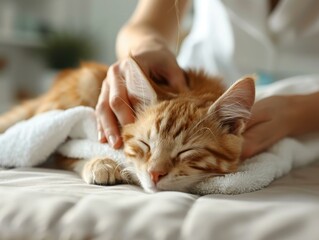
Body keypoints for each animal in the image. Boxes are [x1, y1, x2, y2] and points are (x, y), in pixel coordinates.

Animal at [0, 58, 256, 193]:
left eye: (186, 151)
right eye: (146, 144)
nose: (154, 173)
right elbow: (71, 150)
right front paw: (101, 164)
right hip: (82, 88)